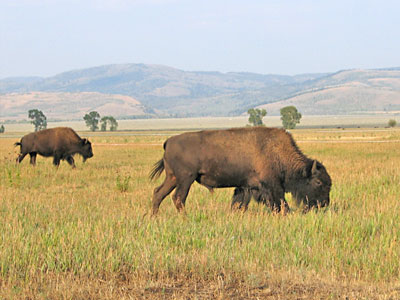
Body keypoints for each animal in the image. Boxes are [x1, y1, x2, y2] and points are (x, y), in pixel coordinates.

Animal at [150, 126, 332, 213]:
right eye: (318, 182)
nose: (324, 203)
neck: (277, 152)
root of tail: (168, 141)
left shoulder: (246, 187)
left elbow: (239, 204)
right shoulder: (272, 186)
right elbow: (281, 204)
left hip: (172, 178)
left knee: (159, 193)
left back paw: (154, 217)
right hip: (185, 179)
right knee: (178, 198)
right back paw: (185, 218)